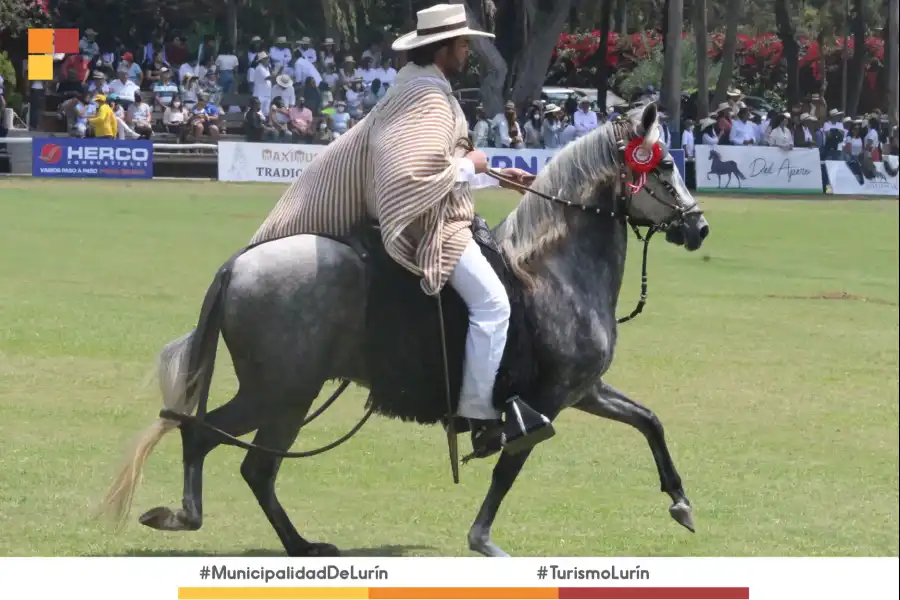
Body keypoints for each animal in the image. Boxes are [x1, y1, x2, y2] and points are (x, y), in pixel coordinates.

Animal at [100, 103, 712, 556]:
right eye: (663, 167)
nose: (699, 227)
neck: (551, 271)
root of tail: (239, 265)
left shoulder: (583, 390)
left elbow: (649, 421)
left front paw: (680, 502)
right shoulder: (547, 402)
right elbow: (508, 470)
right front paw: (483, 540)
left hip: (281, 394)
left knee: (235, 455)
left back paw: (289, 541)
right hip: (283, 392)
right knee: (226, 448)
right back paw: (202, 520)